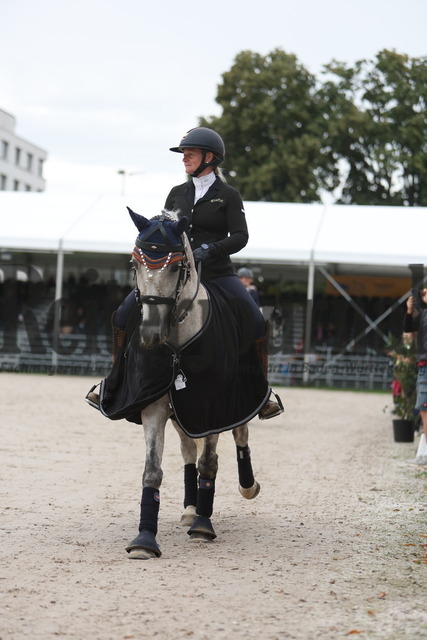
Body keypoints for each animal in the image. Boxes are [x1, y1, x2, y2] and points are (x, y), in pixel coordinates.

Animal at [99, 208, 270, 556]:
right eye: (134, 264)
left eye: (177, 266)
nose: (151, 334)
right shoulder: (153, 406)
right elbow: (153, 470)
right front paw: (144, 540)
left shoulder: (215, 407)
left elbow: (210, 463)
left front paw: (203, 526)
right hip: (182, 413)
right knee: (188, 450)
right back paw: (190, 508)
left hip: (237, 403)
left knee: (240, 436)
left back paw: (244, 488)